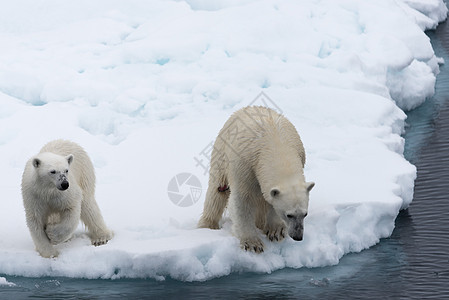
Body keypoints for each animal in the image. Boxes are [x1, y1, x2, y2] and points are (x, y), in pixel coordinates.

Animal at [198, 106, 314, 252]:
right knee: (217, 191)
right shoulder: (245, 166)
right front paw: (252, 243)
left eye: (305, 214)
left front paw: (275, 231)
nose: (298, 236)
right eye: (289, 215)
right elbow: (242, 201)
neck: (275, 144)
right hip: (222, 152)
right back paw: (207, 225)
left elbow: (270, 202)